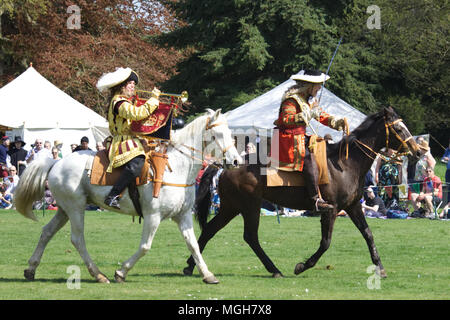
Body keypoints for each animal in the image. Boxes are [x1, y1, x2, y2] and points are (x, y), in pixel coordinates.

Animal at [14, 109, 243, 284]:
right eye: (217, 135)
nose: (237, 162)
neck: (177, 168)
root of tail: (56, 163)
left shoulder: (183, 216)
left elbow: (194, 245)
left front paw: (208, 275)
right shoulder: (153, 216)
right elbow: (145, 246)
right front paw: (121, 272)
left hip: (64, 209)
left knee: (47, 232)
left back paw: (31, 269)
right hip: (76, 208)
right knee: (77, 239)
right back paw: (98, 275)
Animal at [183, 107, 422, 278]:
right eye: (399, 129)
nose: (418, 151)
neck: (346, 164)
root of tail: (226, 166)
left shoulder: (353, 207)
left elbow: (368, 234)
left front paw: (379, 267)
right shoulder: (331, 210)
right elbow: (326, 242)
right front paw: (302, 266)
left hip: (231, 207)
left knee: (210, 230)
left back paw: (191, 266)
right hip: (249, 206)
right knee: (249, 236)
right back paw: (273, 269)